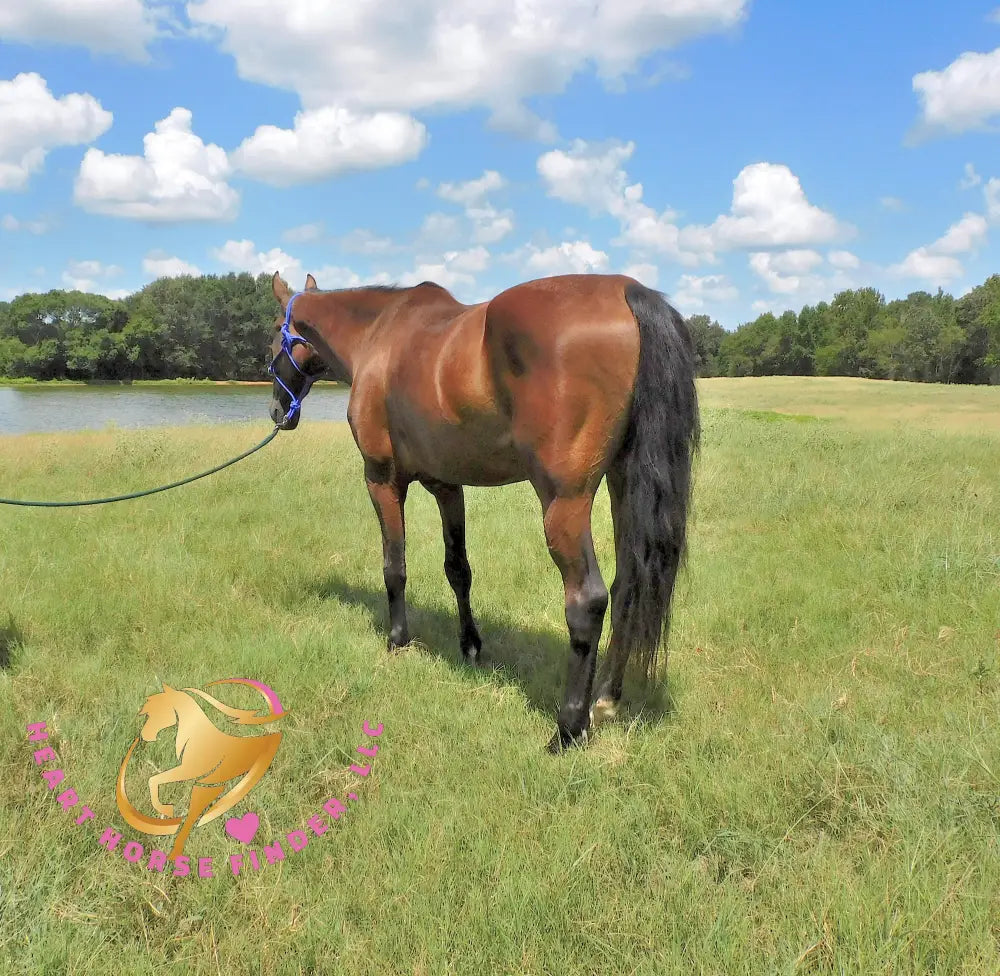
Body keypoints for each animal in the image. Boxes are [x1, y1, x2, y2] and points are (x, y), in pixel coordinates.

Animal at [267, 271, 699, 752]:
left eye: (274, 336)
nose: (277, 410)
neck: (377, 335)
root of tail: (627, 291)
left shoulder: (380, 479)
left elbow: (394, 567)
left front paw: (398, 640)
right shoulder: (446, 485)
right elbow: (458, 569)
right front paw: (470, 645)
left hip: (564, 501)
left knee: (587, 600)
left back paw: (569, 727)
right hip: (623, 482)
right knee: (629, 584)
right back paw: (606, 697)